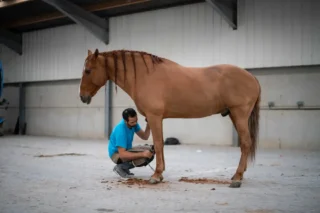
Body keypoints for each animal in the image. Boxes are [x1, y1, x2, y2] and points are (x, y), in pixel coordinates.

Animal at [79, 48, 262, 188]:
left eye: (88, 71)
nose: (82, 97)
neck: (145, 75)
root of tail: (251, 77)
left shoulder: (154, 117)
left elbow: (159, 144)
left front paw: (156, 175)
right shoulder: (156, 119)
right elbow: (158, 143)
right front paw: (160, 174)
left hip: (239, 114)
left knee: (246, 143)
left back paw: (237, 178)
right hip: (234, 115)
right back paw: (238, 175)